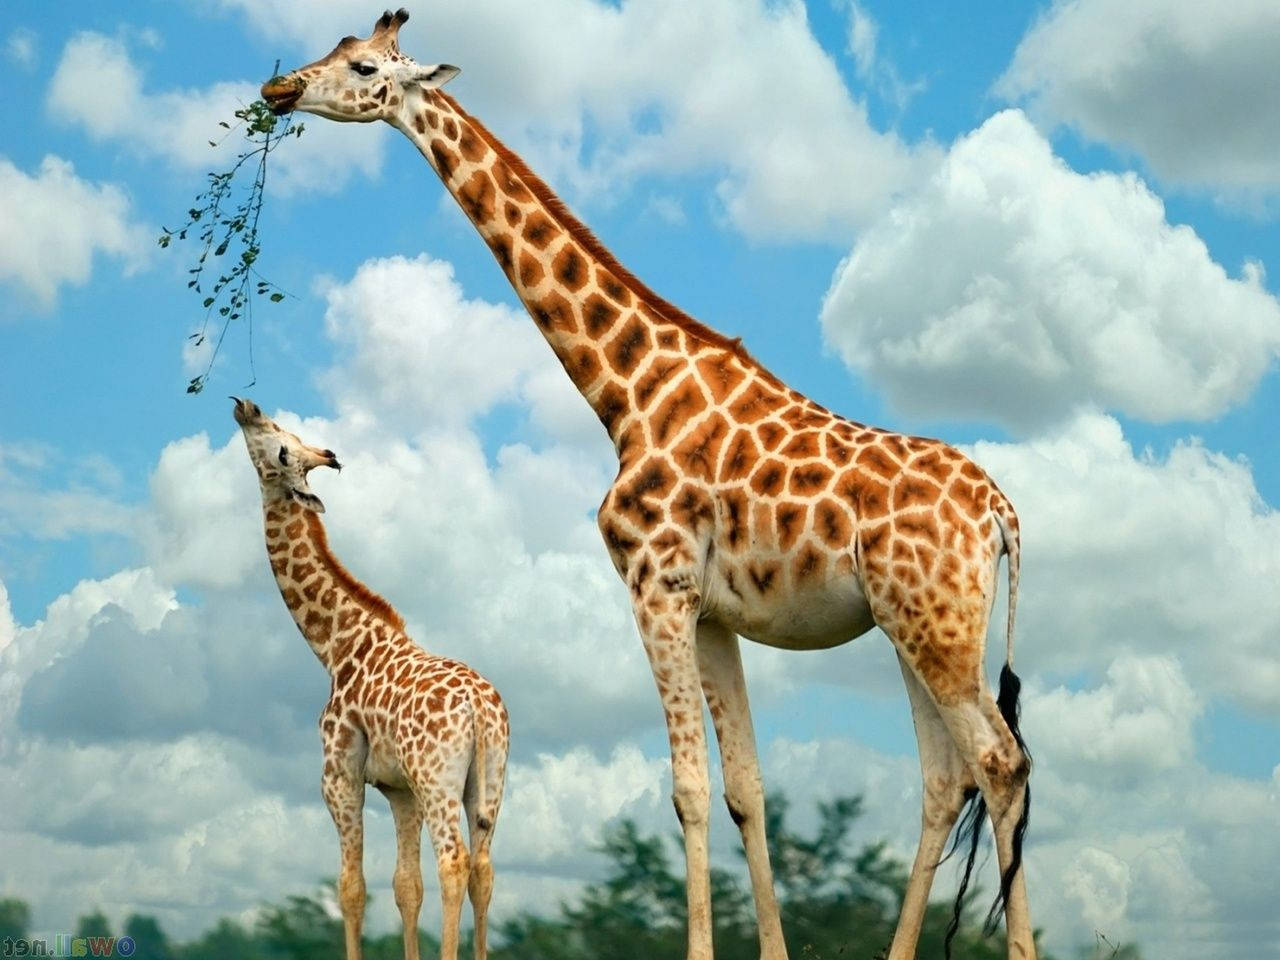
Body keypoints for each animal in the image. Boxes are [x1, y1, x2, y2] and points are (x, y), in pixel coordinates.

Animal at [232, 397, 510, 960]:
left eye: (282, 447)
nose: (246, 406)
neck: (335, 646)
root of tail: (479, 709)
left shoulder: (338, 776)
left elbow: (351, 888)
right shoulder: (399, 789)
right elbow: (406, 886)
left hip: (438, 779)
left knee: (454, 862)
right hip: (488, 782)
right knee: (482, 869)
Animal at [261, 10, 1035, 960]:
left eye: (365, 67)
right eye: (334, 50)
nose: (278, 89)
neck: (625, 393)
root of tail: (1000, 514)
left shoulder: (654, 587)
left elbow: (689, 789)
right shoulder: (711, 613)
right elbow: (745, 791)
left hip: (935, 629)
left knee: (1000, 761)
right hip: (914, 629)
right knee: (947, 780)